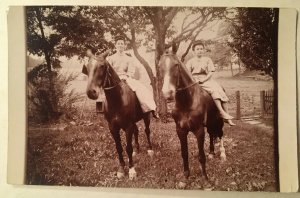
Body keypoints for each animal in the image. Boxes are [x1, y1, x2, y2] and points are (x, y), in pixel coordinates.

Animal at [81, 51, 152, 180]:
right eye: (87, 67)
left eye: (102, 66)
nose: (91, 92)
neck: (117, 99)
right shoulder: (113, 128)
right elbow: (119, 147)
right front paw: (121, 169)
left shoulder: (128, 126)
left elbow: (128, 148)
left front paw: (131, 170)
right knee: (137, 131)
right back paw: (137, 150)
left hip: (146, 117)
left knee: (147, 131)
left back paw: (150, 150)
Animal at [159, 46, 225, 186]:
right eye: (159, 66)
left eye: (176, 65)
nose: (167, 93)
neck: (187, 102)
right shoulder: (180, 130)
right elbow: (184, 153)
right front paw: (186, 176)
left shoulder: (198, 130)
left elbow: (201, 156)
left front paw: (205, 178)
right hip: (210, 123)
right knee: (212, 135)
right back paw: (212, 152)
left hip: (219, 121)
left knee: (221, 135)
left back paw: (223, 155)